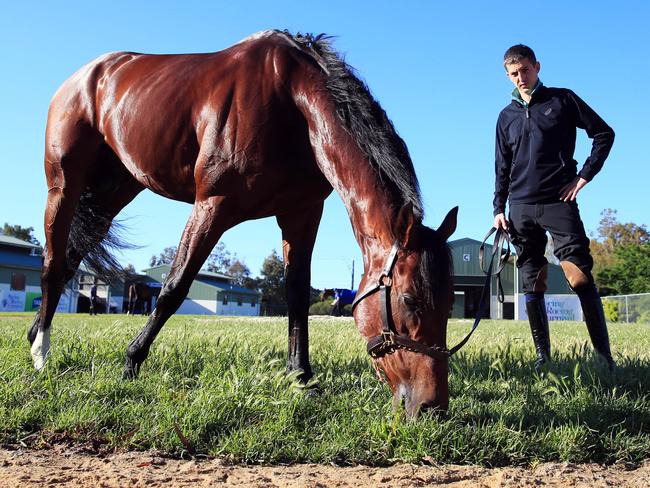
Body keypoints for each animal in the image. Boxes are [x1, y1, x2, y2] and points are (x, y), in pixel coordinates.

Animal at [29, 29, 456, 416]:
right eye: (409, 300)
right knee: (52, 263)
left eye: (451, 301)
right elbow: (174, 287)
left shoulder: (301, 214)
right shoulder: (212, 205)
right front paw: (132, 361)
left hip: (115, 190)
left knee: (71, 257)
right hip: (63, 186)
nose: (431, 406)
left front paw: (301, 378)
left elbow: (297, 296)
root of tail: (85, 76)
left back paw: (35, 331)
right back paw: (40, 352)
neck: (290, 101)